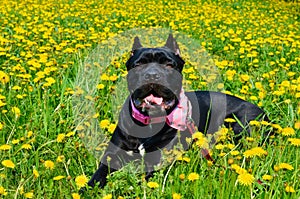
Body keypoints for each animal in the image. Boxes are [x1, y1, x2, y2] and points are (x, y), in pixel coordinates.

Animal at [86, 35, 268, 189]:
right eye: (139, 64)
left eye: (168, 64)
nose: (152, 75)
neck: (149, 123)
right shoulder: (112, 154)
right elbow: (99, 174)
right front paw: (88, 188)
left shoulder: (156, 161)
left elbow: (143, 182)